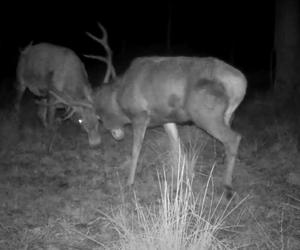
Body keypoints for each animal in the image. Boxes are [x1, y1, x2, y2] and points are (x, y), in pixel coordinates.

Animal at [86, 22, 246, 197]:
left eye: (99, 117)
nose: (116, 135)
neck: (120, 95)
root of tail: (241, 84)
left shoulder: (140, 115)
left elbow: (136, 150)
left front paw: (129, 182)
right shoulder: (166, 118)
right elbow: (176, 145)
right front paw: (185, 176)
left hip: (206, 114)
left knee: (234, 138)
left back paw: (227, 186)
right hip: (226, 115)